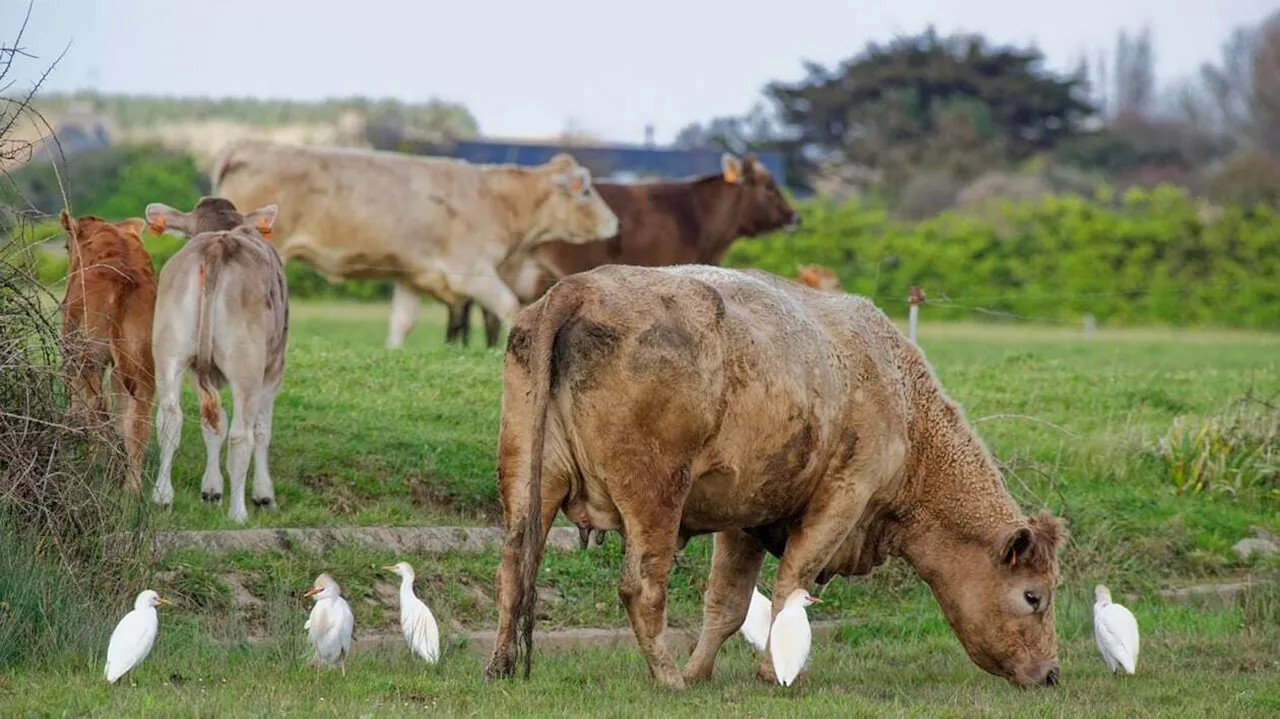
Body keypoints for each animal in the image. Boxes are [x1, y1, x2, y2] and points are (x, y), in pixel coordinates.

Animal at [57, 208, 157, 491]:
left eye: (67, 245)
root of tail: (127, 281)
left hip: (89, 358)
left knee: (97, 408)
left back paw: (96, 466)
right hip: (143, 368)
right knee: (138, 424)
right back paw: (131, 487)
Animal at [483, 263, 1064, 690]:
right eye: (1034, 596)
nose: (1052, 673)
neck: (903, 403)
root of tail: (580, 287)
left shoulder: (745, 515)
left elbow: (727, 602)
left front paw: (702, 672)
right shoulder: (842, 499)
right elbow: (790, 585)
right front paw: (768, 672)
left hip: (529, 479)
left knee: (513, 567)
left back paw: (502, 667)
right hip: (655, 496)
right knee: (642, 586)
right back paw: (667, 678)